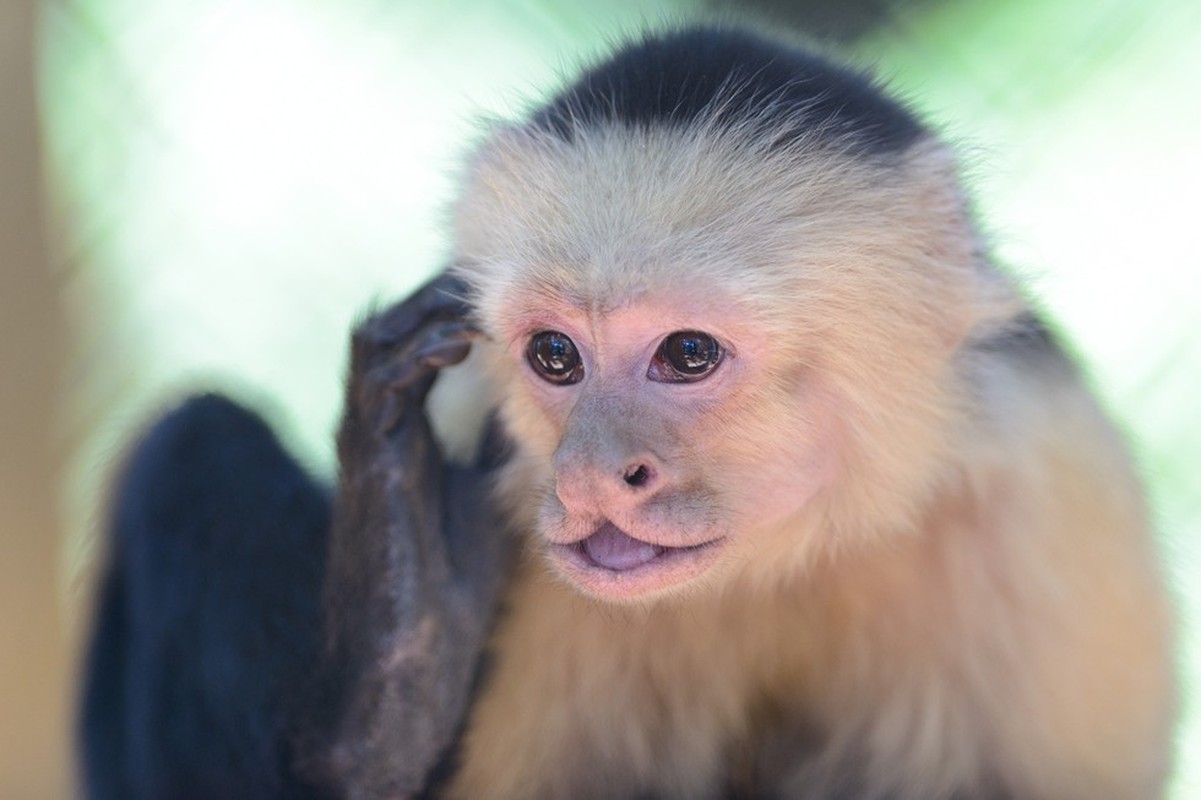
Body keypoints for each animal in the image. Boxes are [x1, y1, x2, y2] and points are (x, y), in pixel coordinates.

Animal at [79, 24, 1176, 797]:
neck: (771, 559)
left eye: (687, 354)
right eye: (554, 356)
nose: (591, 474)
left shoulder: (1057, 488)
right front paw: (404, 638)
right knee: (195, 436)